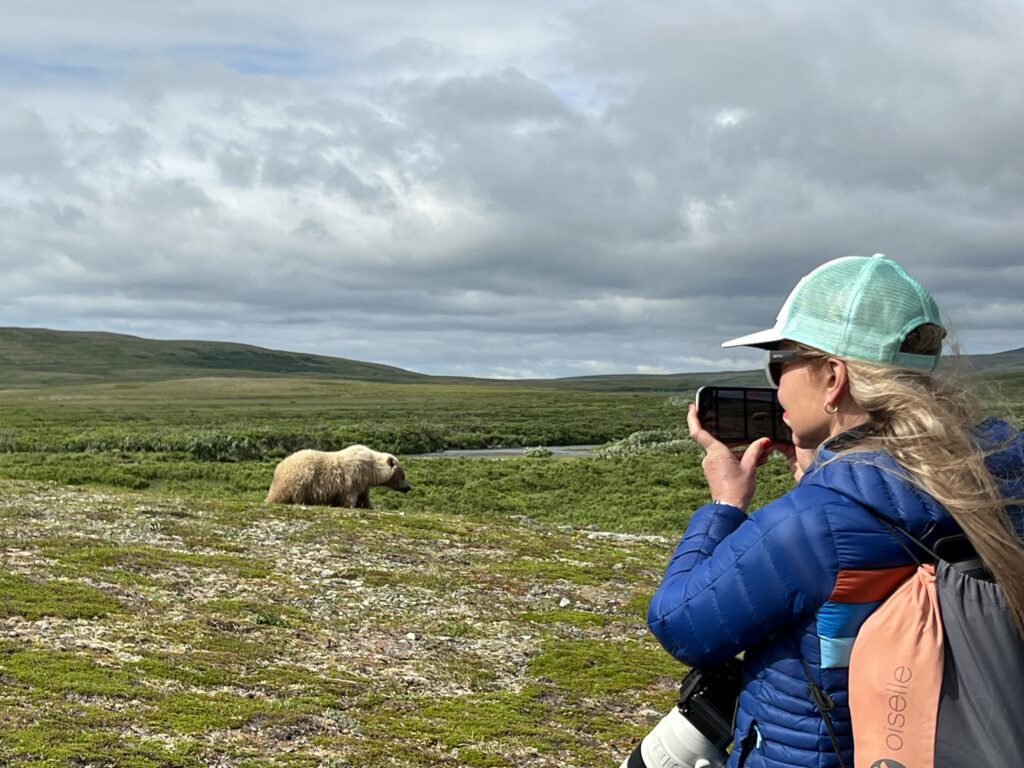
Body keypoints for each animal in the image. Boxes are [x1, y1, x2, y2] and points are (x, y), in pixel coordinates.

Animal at [264, 444, 411, 512]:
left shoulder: (363, 483)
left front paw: (370, 506)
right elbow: (350, 496)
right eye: (403, 475)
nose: (409, 487)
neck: (372, 469)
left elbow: (364, 496)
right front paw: (350, 505)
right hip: (300, 479)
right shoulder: (355, 477)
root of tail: (279, 468)